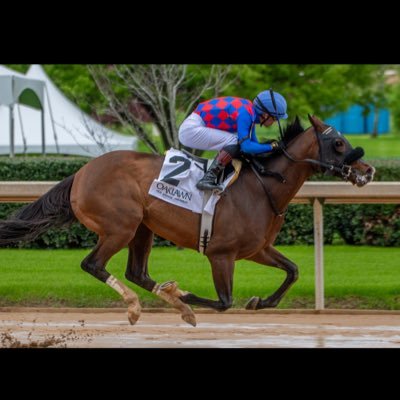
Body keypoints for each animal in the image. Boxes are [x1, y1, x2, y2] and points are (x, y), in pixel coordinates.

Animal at [0, 114, 376, 326]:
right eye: (338, 143)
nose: (368, 170)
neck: (263, 186)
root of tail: (81, 173)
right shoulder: (221, 254)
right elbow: (224, 302)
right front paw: (182, 294)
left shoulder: (257, 249)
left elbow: (293, 271)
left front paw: (261, 302)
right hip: (121, 226)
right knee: (93, 264)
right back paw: (137, 307)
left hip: (143, 227)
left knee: (136, 272)